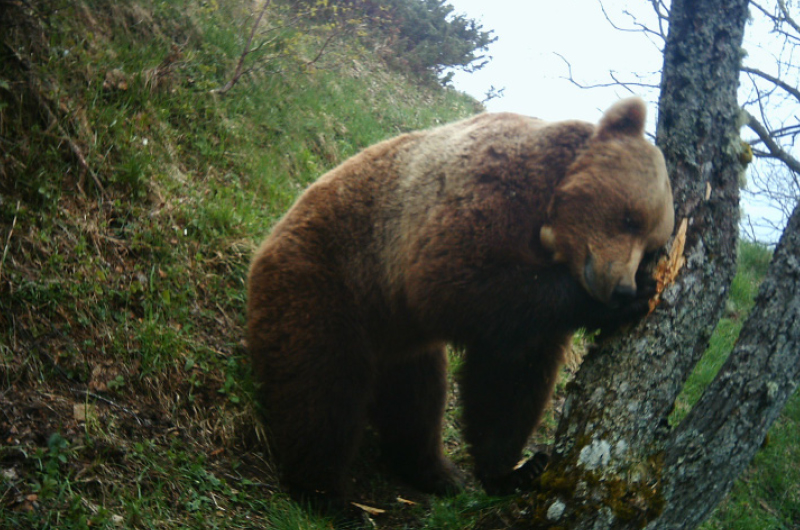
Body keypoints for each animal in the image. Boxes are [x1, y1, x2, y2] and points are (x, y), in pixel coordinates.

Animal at [247, 97, 672, 506]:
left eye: (651, 244)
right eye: (630, 219)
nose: (622, 288)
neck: (550, 219)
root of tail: (267, 242)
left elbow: (511, 376)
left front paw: (514, 470)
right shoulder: (491, 190)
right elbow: (455, 281)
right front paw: (625, 301)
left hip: (399, 335)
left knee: (417, 399)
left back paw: (434, 471)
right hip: (326, 284)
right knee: (323, 391)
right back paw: (325, 493)